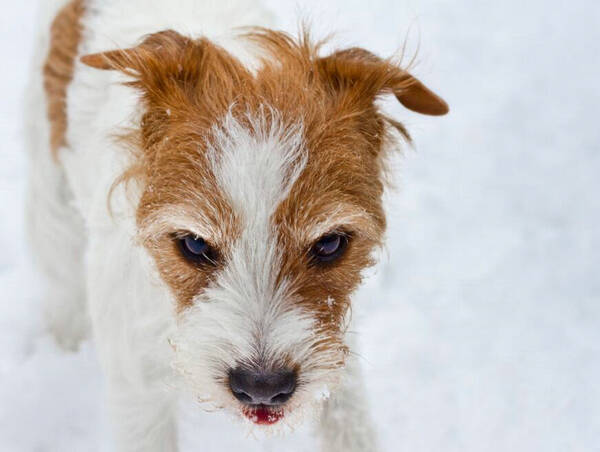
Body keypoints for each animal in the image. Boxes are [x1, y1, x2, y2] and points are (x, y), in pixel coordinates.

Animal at [25, 0, 448, 452]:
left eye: (331, 244)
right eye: (194, 245)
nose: (263, 386)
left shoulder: (332, 346)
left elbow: (348, 421)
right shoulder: (139, 386)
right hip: (50, 200)